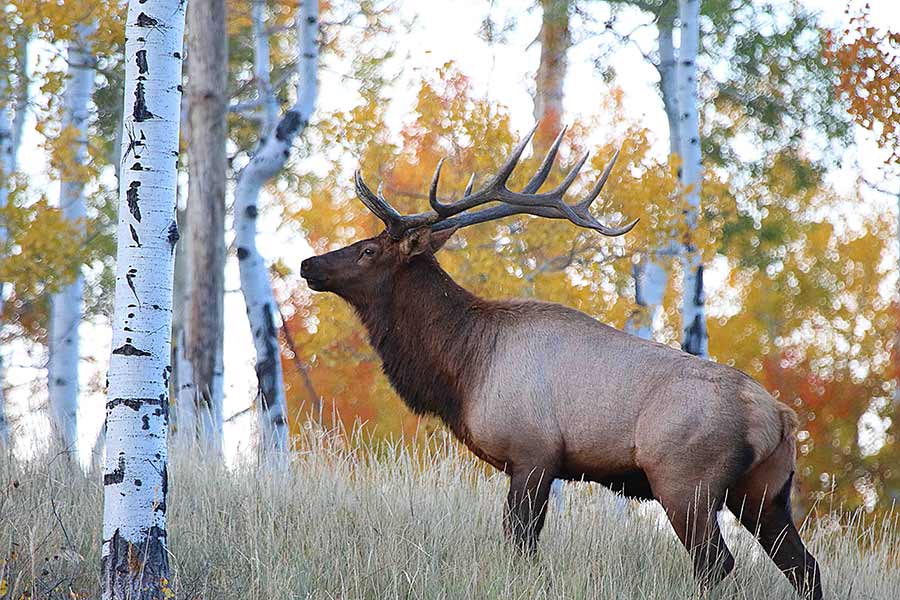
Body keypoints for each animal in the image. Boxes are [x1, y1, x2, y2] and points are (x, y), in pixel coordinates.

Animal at [300, 124, 824, 596]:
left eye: (368, 250)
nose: (309, 264)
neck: (464, 367)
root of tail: (780, 417)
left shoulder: (533, 453)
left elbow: (519, 545)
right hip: (765, 492)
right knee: (805, 567)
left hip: (685, 481)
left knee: (717, 564)